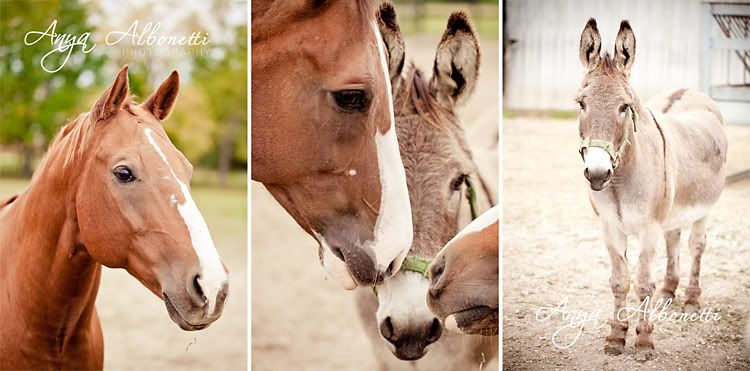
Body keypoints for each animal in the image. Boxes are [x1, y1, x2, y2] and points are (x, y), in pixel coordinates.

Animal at [576, 18, 728, 362]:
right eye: (580, 104)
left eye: (624, 107)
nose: (597, 173)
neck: (620, 180)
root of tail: (689, 90)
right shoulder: (609, 228)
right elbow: (619, 282)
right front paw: (616, 337)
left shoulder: (648, 229)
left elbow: (643, 283)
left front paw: (644, 341)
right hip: (672, 212)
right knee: (674, 240)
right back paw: (669, 292)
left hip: (705, 208)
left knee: (696, 245)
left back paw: (691, 299)